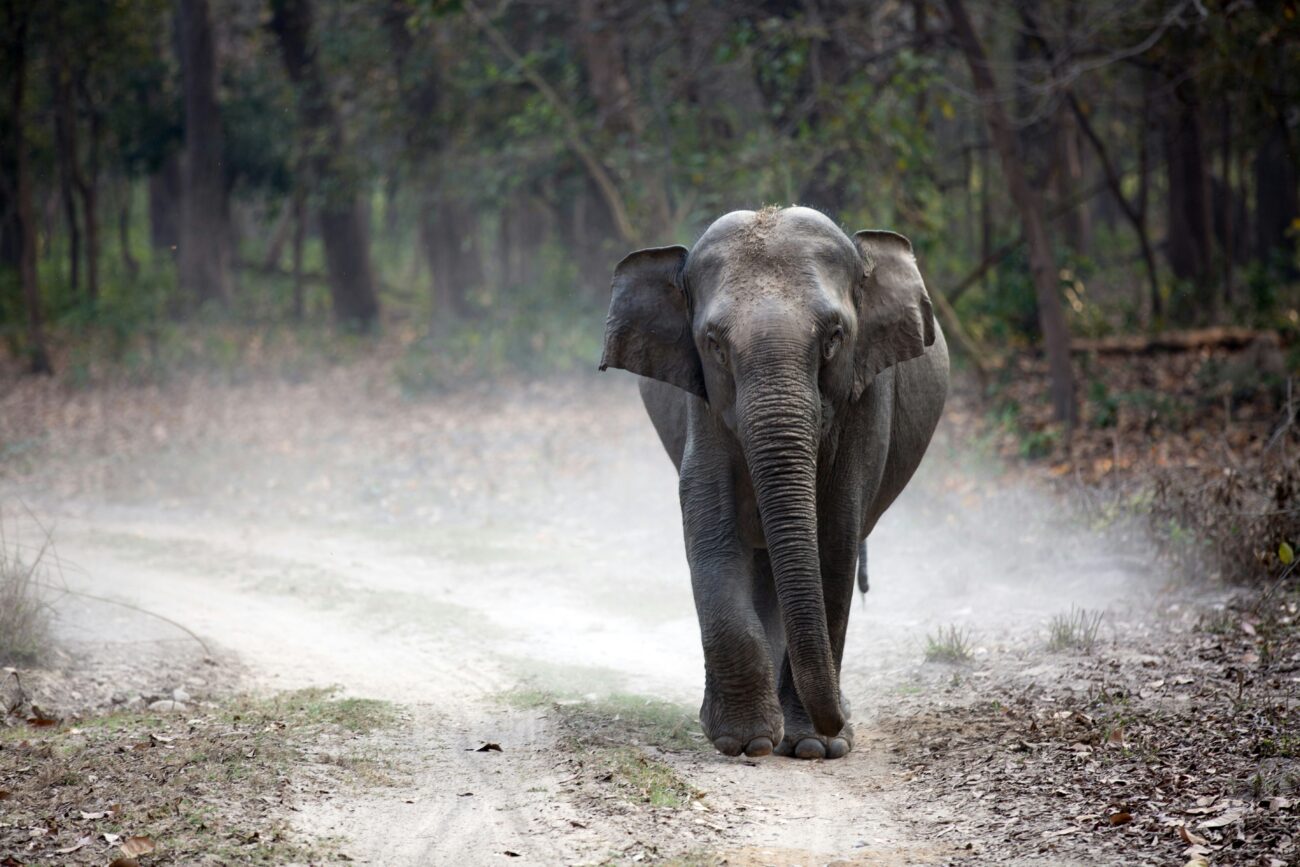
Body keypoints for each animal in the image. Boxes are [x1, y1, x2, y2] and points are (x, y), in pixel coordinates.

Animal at [599, 206, 949, 760]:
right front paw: (746, 742)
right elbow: (711, 526)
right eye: (714, 344)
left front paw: (813, 747)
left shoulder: (866, 398)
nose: (838, 722)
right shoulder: (703, 405)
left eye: (834, 337)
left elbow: (834, 537)